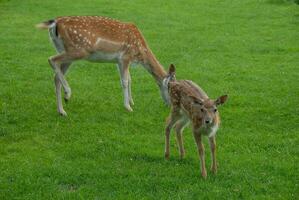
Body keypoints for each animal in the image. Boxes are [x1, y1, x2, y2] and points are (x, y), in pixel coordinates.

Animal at [35, 16, 173, 115]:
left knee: (56, 76)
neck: (140, 53)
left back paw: (62, 110)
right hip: (78, 50)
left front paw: (132, 101)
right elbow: (125, 81)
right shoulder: (125, 57)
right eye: (172, 89)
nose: (170, 106)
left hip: (62, 49)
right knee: (52, 59)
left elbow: (129, 79)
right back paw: (68, 94)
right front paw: (128, 107)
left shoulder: (119, 61)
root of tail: (55, 24)